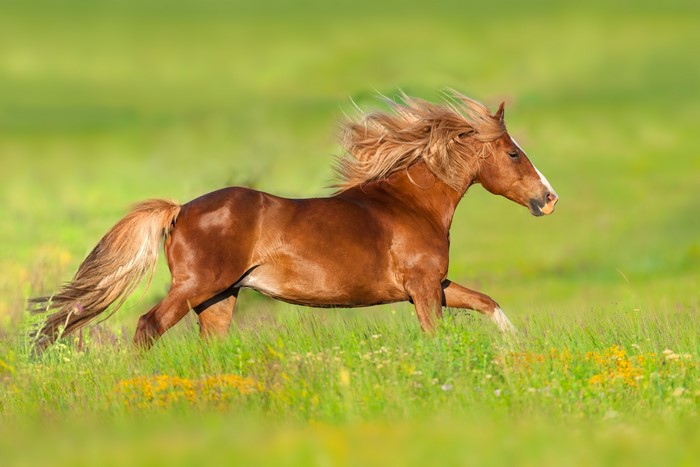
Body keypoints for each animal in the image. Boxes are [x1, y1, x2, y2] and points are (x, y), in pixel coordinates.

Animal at [29, 91, 558, 351]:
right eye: (513, 153)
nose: (549, 199)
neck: (408, 205)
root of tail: (180, 210)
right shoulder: (424, 288)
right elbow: (437, 334)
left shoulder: (436, 284)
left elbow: (488, 303)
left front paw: (517, 346)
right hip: (197, 287)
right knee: (147, 326)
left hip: (220, 298)